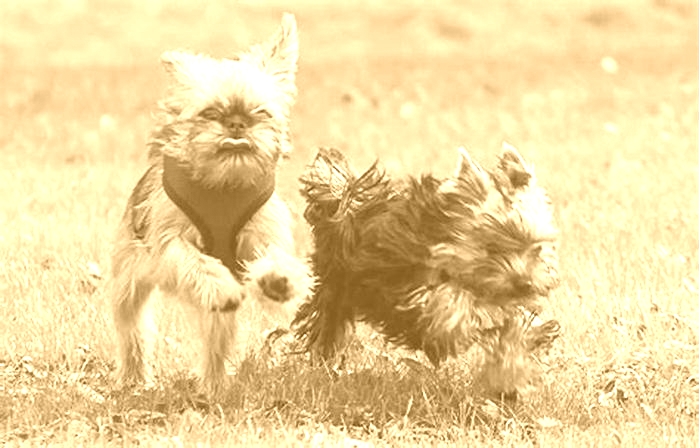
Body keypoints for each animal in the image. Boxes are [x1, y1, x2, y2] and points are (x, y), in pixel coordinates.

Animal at [110, 12, 314, 394]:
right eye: (209, 112)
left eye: (260, 112)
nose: (236, 122)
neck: (225, 184)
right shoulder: (168, 248)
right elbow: (197, 262)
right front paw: (218, 283)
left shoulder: (261, 236)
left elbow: (273, 257)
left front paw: (277, 280)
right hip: (129, 282)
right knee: (132, 328)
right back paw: (135, 377)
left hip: (218, 318)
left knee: (217, 341)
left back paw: (215, 384)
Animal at [292, 145, 560, 398]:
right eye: (492, 248)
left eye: (537, 247)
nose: (524, 283)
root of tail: (351, 198)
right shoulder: (413, 288)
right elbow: (455, 308)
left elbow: (514, 330)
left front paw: (512, 375)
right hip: (337, 285)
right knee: (329, 325)